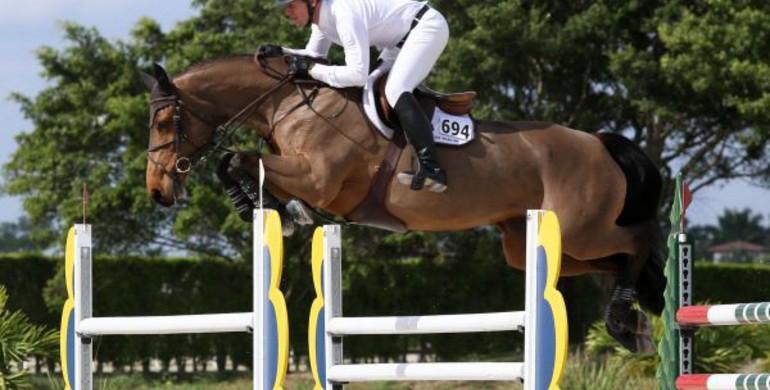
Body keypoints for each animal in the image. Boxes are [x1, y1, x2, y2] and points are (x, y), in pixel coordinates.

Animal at [141, 52, 664, 354]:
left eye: (165, 123)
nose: (157, 190)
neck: (289, 103)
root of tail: (598, 142)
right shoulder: (303, 175)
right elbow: (237, 164)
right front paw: (270, 208)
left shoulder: (319, 179)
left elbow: (236, 158)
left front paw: (276, 210)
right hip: (533, 244)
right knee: (617, 261)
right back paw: (638, 314)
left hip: (579, 228)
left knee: (639, 239)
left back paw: (626, 317)